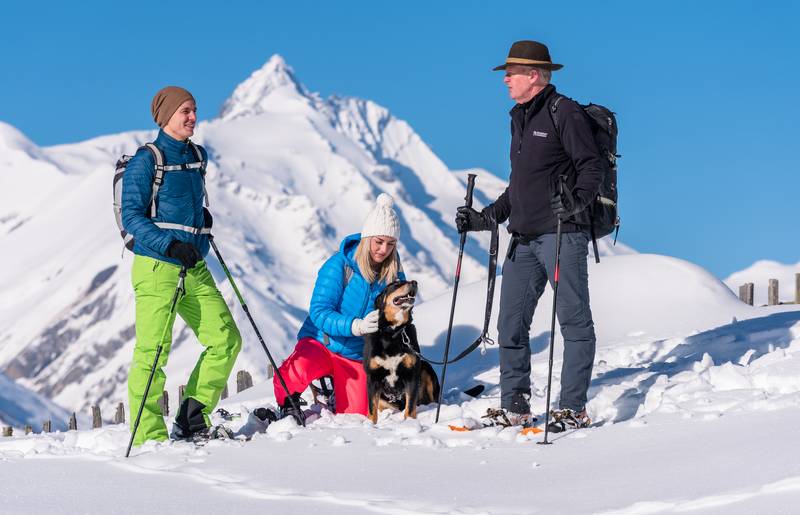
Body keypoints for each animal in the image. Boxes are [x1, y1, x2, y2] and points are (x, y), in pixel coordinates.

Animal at [360, 282, 438, 424]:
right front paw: (371, 424)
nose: (414, 282)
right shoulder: (373, 377)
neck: (393, 333)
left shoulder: (412, 373)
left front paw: (409, 422)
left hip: (426, 367)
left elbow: (410, 405)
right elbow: (372, 408)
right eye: (396, 284)